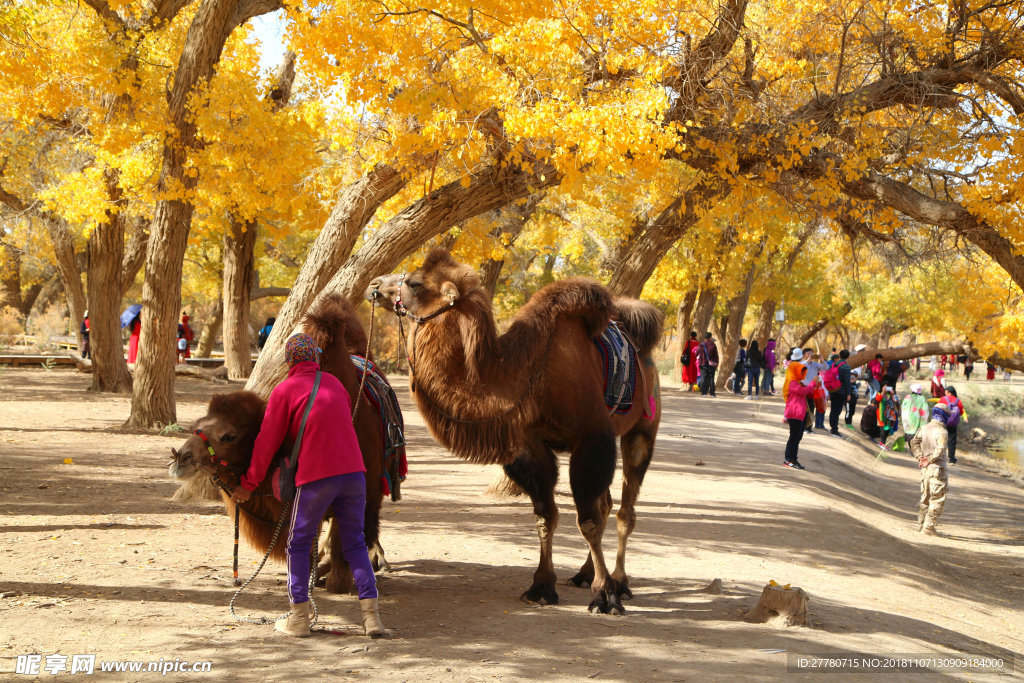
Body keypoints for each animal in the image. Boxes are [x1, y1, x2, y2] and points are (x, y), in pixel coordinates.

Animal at [368, 249, 663, 614]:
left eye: (414, 283)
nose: (375, 284)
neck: (527, 377)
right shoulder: (529, 446)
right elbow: (546, 516)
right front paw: (542, 586)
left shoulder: (592, 438)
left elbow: (587, 522)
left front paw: (604, 594)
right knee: (606, 504)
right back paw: (583, 574)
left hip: (642, 428)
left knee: (624, 510)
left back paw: (619, 582)